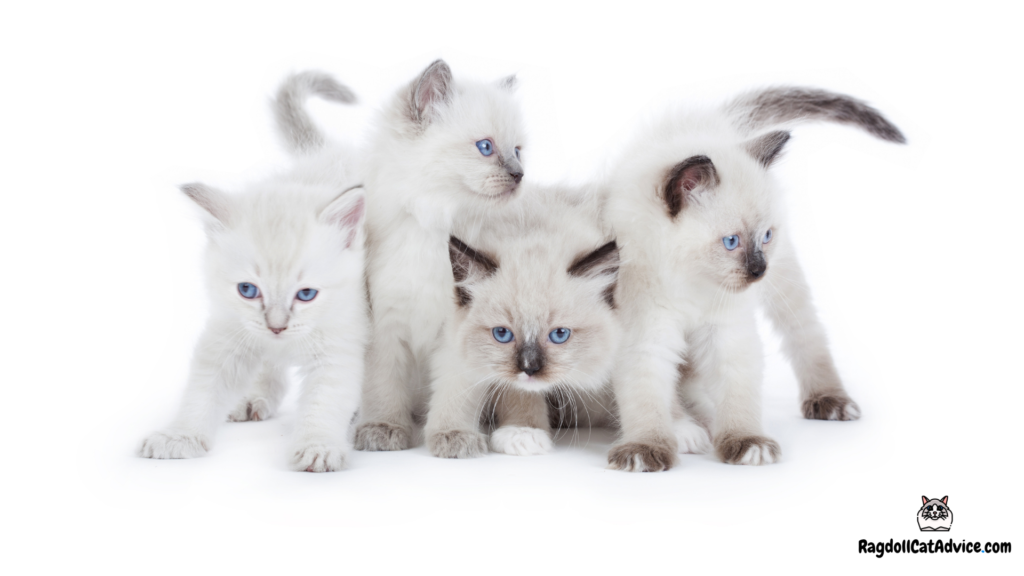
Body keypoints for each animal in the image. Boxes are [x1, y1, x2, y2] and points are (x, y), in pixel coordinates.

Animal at [138, 70, 366, 471]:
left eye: (306, 294)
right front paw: (180, 436)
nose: (276, 327)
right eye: (248, 290)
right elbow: (202, 391)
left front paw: (318, 446)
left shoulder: (341, 343)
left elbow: (324, 402)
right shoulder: (228, 332)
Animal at [354, 58, 528, 453]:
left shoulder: (459, 331)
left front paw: (454, 436)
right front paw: (384, 429)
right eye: (485, 147)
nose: (519, 174)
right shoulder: (385, 327)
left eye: (518, 150)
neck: (432, 231)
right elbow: (383, 389)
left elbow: (455, 395)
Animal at [598, 87, 905, 469]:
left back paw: (830, 401)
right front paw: (648, 447)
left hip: (787, 283)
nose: (759, 271)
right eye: (731, 242)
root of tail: (710, 124)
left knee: (806, 335)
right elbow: (648, 397)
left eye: (766, 236)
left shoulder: (727, 332)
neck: (691, 283)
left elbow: (737, 392)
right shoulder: (645, 337)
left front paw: (747, 443)